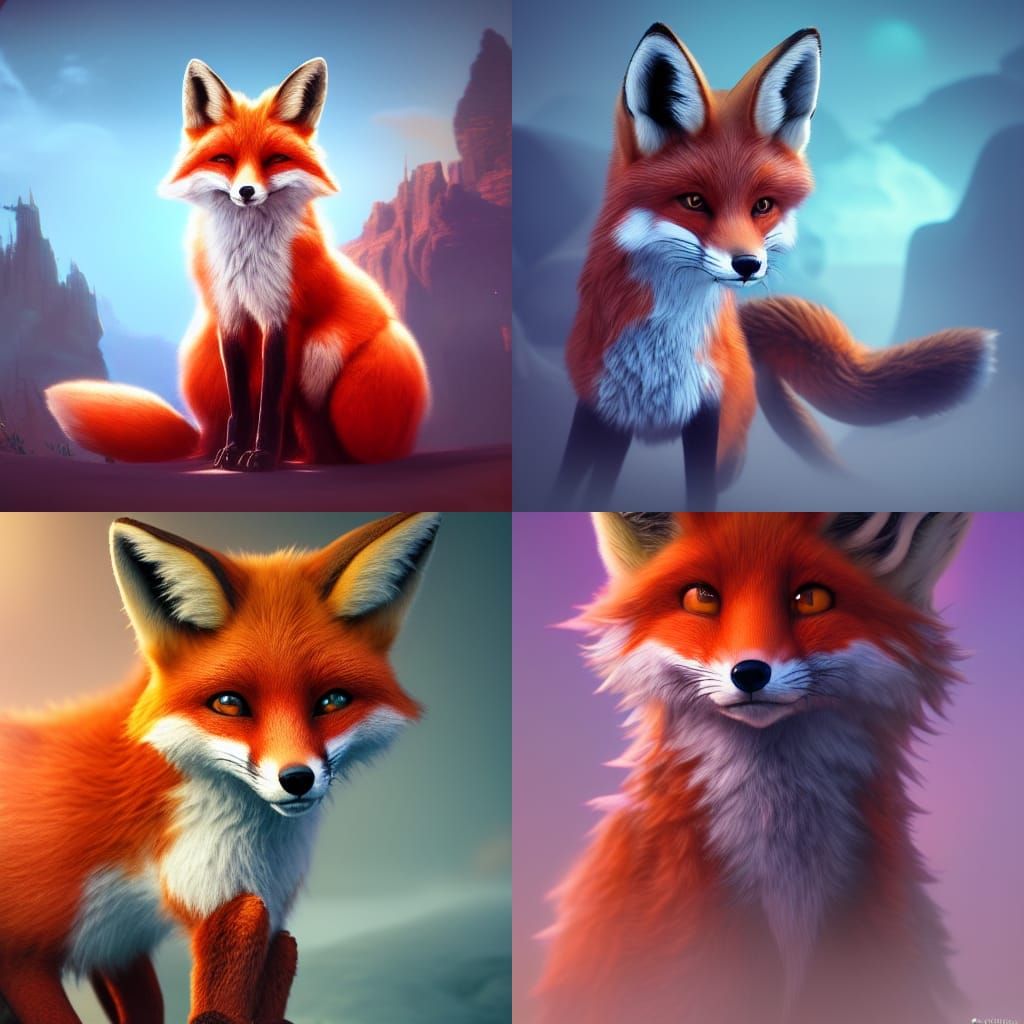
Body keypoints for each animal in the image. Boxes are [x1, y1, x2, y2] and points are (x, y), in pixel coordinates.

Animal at [46, 58, 429, 471]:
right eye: (224, 159)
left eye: (274, 159)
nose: (246, 192)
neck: (246, 258)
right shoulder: (228, 314)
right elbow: (242, 401)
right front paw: (234, 453)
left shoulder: (284, 318)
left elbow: (271, 402)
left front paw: (262, 456)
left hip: (335, 353)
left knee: (328, 440)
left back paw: (314, 457)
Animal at [552, 24, 995, 510]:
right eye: (694, 201)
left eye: (762, 206)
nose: (748, 264)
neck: (660, 358)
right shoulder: (597, 409)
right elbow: (570, 486)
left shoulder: (706, 414)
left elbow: (698, 497)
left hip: (729, 447)